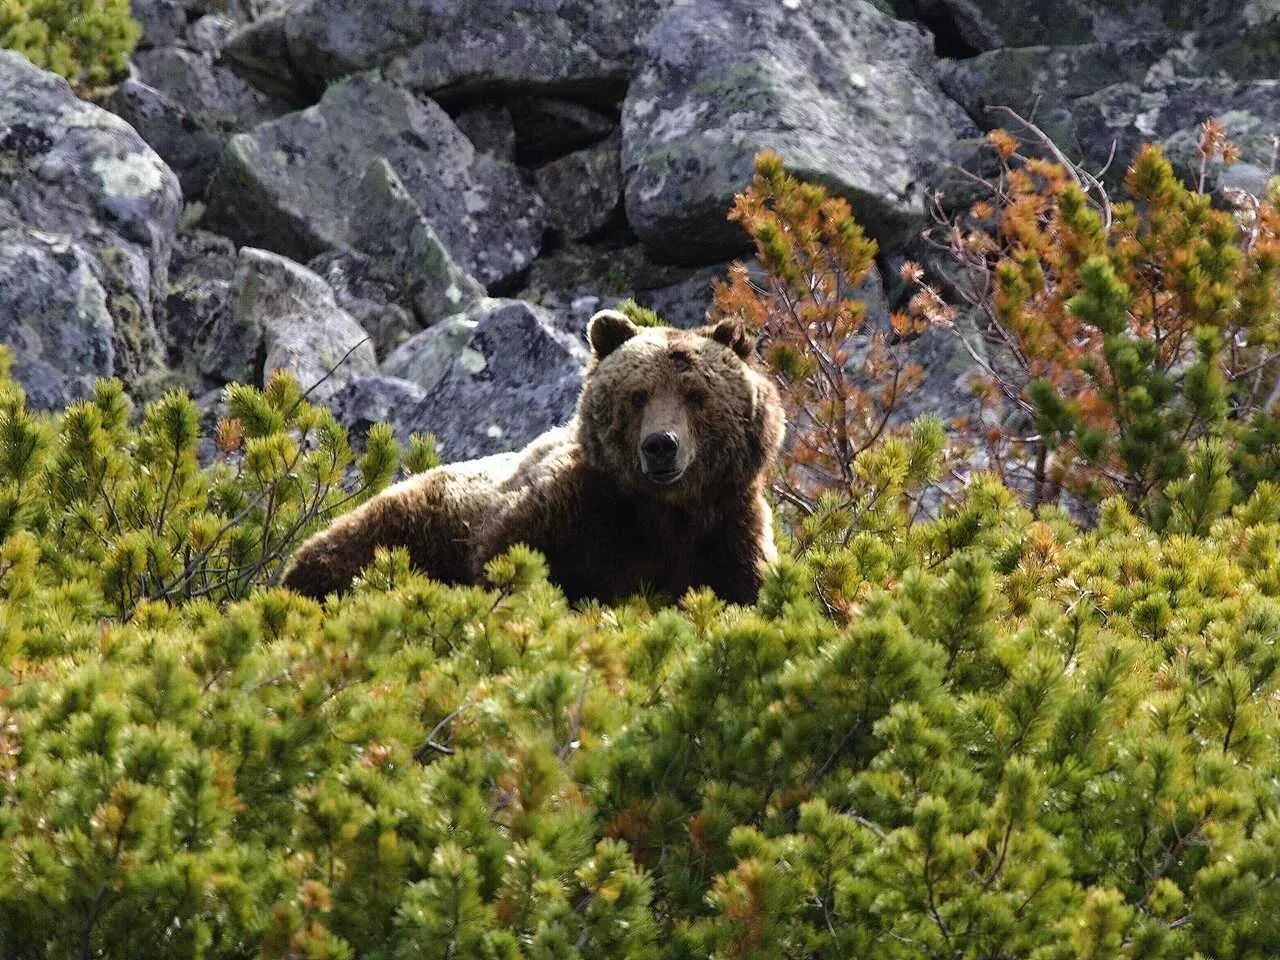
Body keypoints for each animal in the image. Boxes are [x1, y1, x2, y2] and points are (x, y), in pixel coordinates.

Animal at [281, 312, 783, 604]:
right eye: (638, 395)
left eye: (695, 395)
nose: (661, 444)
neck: (665, 514)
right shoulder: (569, 515)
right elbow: (509, 564)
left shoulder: (728, 533)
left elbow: (744, 589)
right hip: (405, 525)